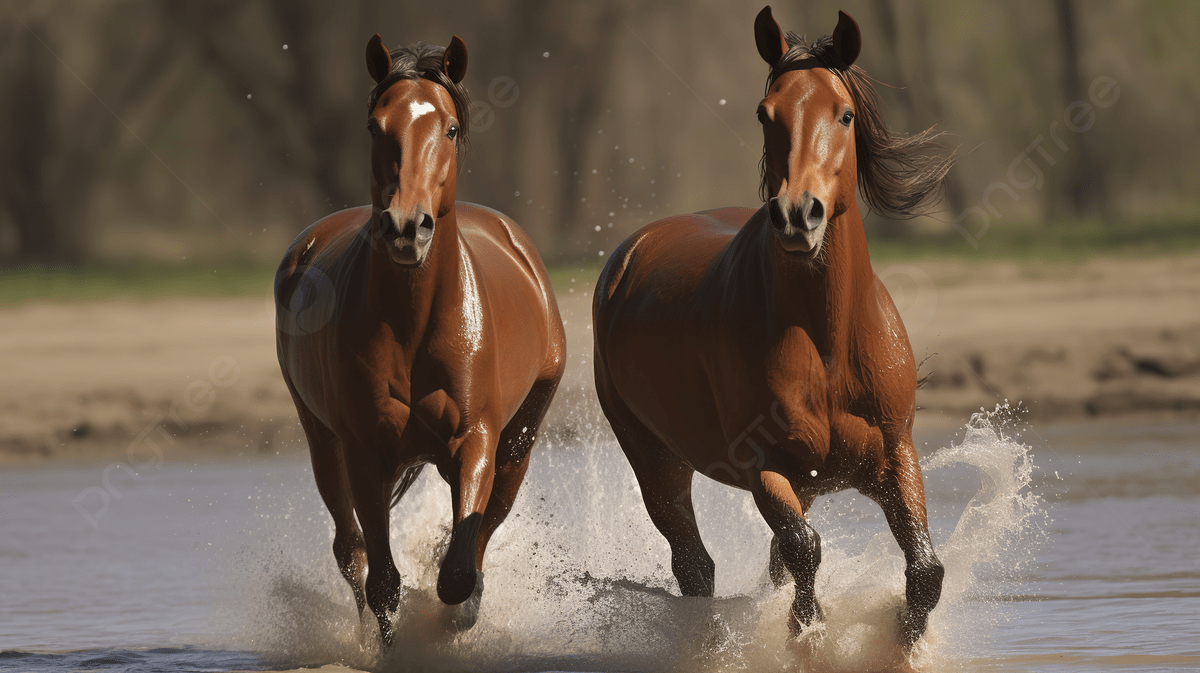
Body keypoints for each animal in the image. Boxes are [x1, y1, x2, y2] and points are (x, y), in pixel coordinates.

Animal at [274, 35, 565, 645]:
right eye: (374, 125)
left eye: (450, 128)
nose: (407, 227)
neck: (414, 328)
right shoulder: (364, 451)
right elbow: (383, 583)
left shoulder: (476, 439)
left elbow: (456, 573)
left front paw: (455, 617)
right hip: (321, 440)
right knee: (351, 551)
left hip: (520, 439)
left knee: (484, 528)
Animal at [592, 7, 954, 647]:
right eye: (766, 113)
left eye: (844, 113)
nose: (796, 215)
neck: (829, 342)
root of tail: (629, 255)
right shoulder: (764, 467)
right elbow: (804, 550)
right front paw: (805, 634)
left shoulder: (893, 454)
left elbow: (924, 571)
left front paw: (903, 643)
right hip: (655, 459)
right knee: (694, 562)